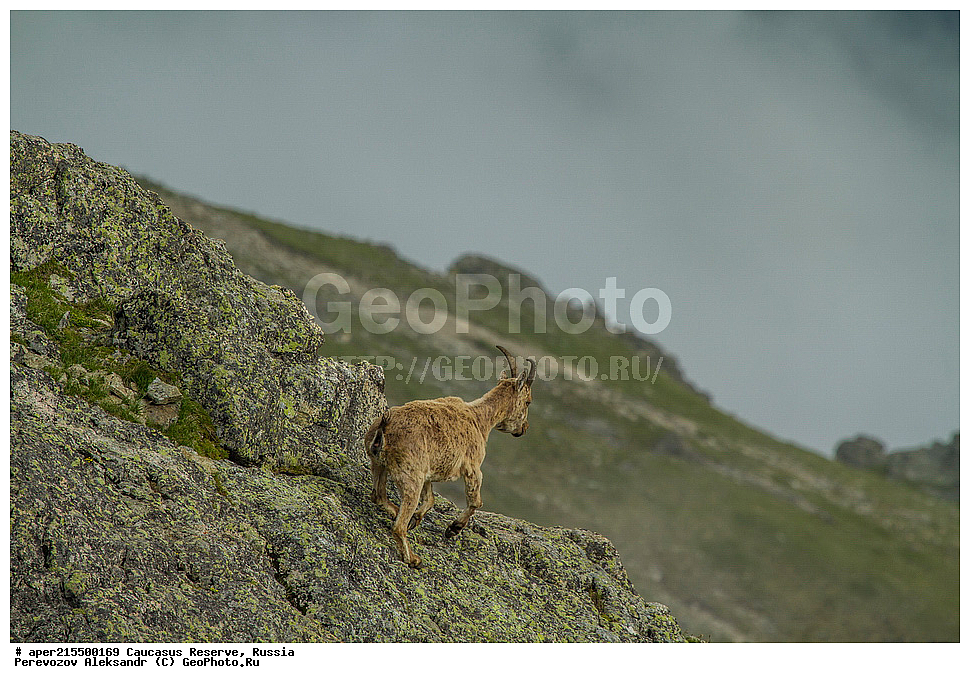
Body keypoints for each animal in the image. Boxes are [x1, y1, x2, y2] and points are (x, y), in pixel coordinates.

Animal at [364, 345, 537, 567]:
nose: (524, 428)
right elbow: (476, 501)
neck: (480, 419)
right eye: (528, 401)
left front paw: (417, 518)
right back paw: (413, 558)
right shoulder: (473, 467)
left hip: (379, 464)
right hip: (411, 477)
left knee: (378, 496)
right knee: (398, 526)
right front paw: (453, 529)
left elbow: (430, 499)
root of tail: (384, 428)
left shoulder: (428, 471)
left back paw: (397, 512)